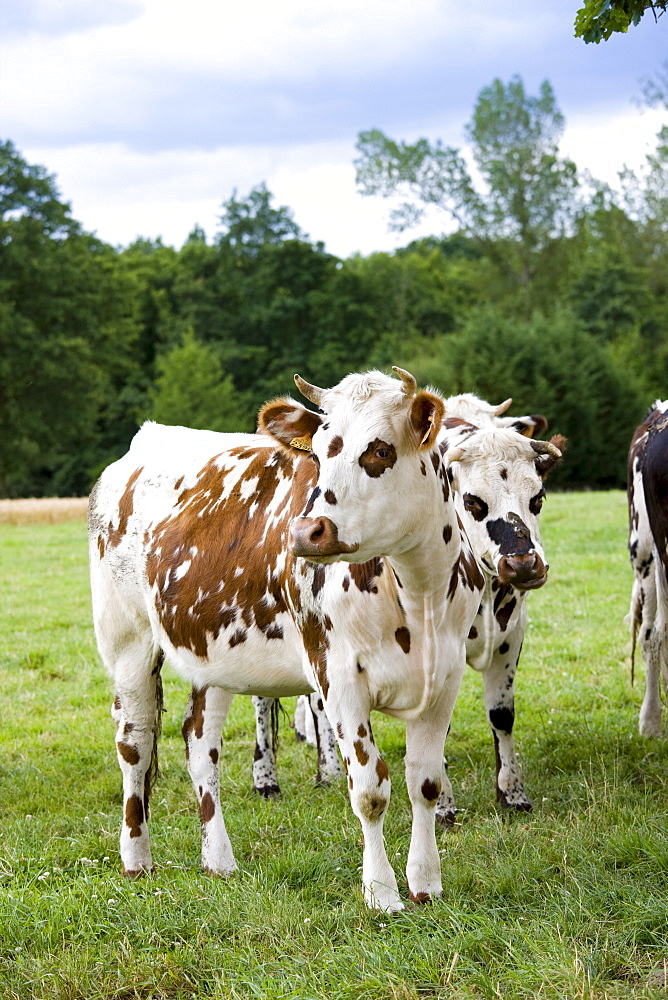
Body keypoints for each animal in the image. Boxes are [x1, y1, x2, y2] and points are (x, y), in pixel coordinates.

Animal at [88, 370, 486, 916]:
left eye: (380, 450)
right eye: (316, 453)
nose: (306, 531)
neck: (417, 592)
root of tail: (148, 438)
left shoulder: (444, 677)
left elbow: (423, 783)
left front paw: (426, 883)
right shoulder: (338, 677)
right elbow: (370, 790)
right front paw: (382, 892)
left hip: (214, 655)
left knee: (200, 742)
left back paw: (219, 859)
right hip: (127, 640)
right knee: (136, 742)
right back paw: (136, 857)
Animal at [250, 396, 564, 820]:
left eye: (538, 498)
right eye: (473, 501)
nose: (525, 564)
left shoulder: (511, 632)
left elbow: (501, 715)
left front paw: (512, 792)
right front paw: (445, 806)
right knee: (268, 699)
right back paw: (270, 777)